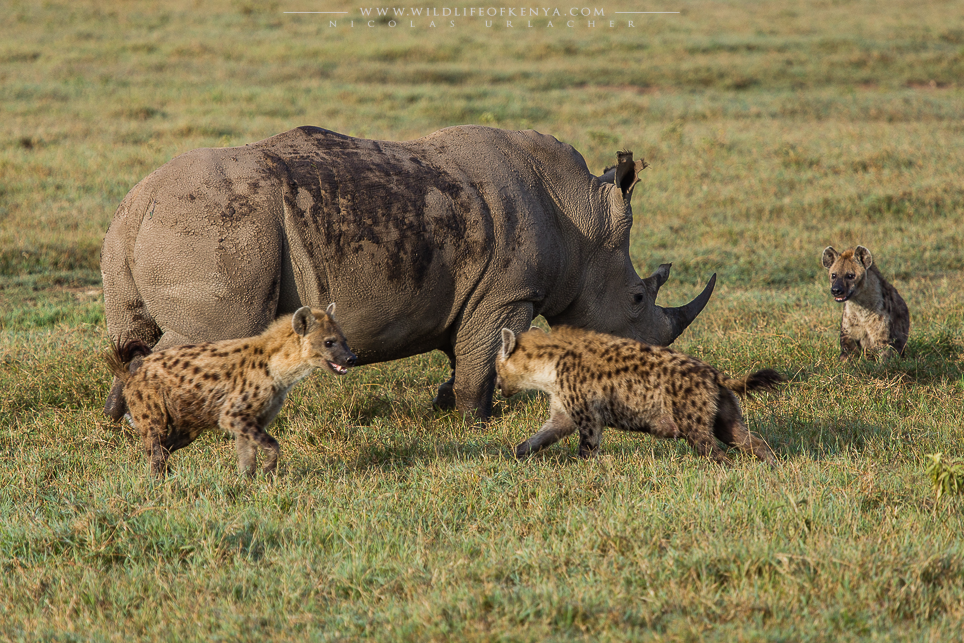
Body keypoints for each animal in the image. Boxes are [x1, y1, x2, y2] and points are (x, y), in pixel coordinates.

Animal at [101, 125, 715, 421]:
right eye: (638, 300)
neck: (582, 220)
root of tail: (141, 202)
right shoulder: (510, 292)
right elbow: (484, 361)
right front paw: (475, 426)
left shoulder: (476, 295)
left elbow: (467, 353)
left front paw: (445, 406)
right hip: (217, 224)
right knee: (214, 332)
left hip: (159, 225)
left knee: (135, 337)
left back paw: (121, 422)